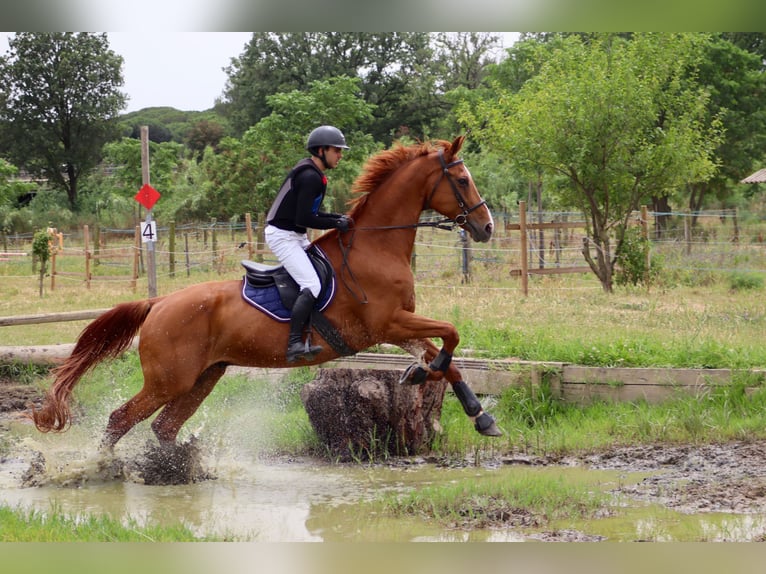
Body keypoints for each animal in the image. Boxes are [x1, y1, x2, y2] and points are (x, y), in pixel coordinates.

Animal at [30, 135, 500, 454]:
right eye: (462, 179)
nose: (487, 228)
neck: (376, 246)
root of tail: (158, 303)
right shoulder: (386, 323)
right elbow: (451, 335)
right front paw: (430, 376)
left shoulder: (397, 327)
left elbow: (446, 359)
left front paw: (476, 413)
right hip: (169, 380)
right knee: (120, 419)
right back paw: (101, 470)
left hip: (204, 376)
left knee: (164, 427)